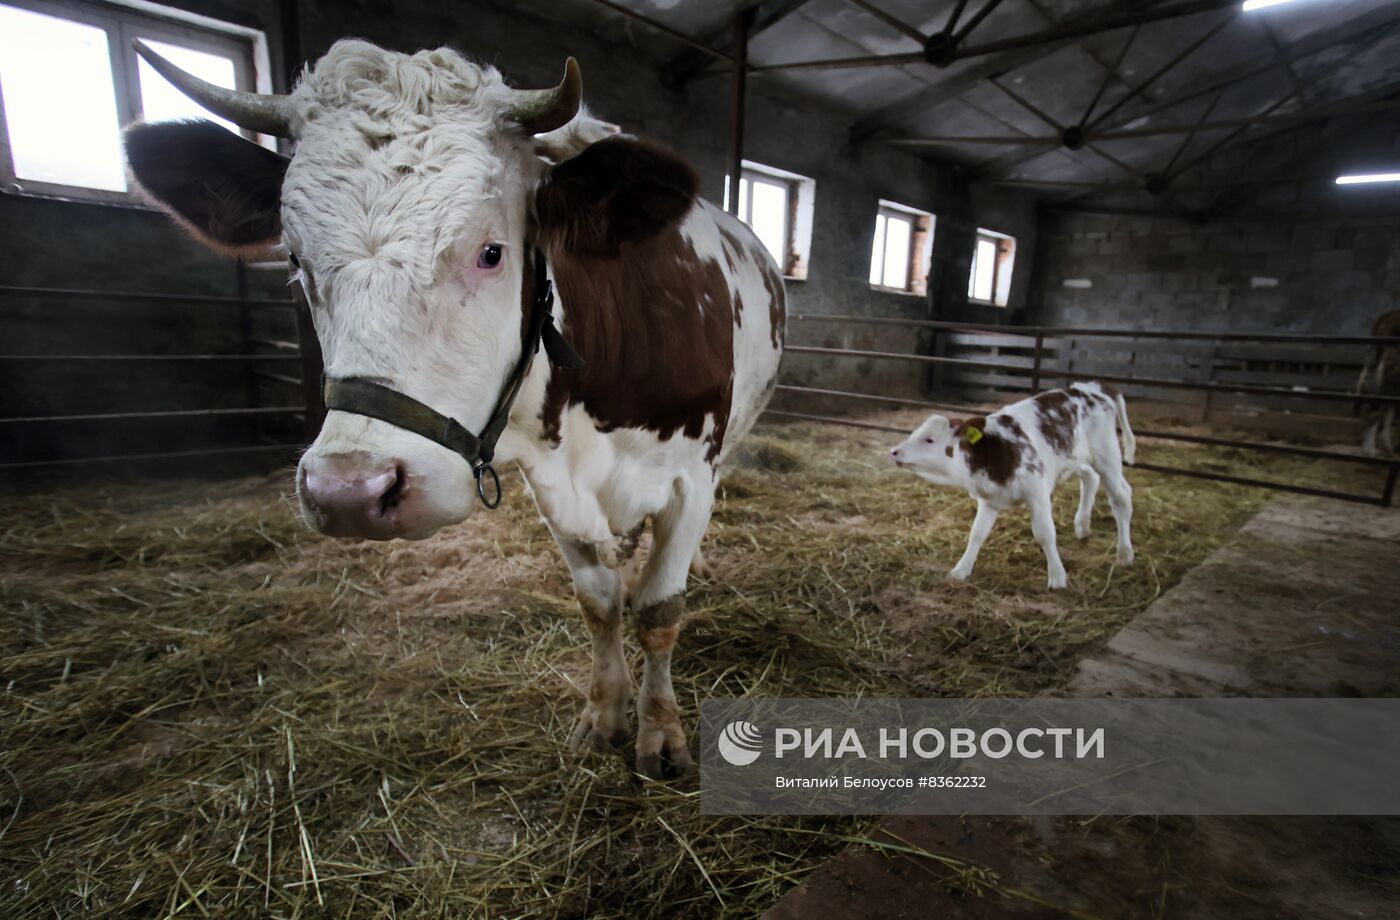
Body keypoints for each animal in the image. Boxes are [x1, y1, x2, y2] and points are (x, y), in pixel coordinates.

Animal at [120, 41, 789, 772]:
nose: (352, 492)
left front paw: (661, 735)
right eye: (295, 260)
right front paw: (604, 716)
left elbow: (659, 611)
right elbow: (600, 603)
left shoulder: (688, 478)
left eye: (491, 252)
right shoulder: (552, 488)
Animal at [884, 380, 1136, 588]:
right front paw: (961, 570)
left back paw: (1125, 554)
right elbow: (977, 533)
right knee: (1091, 478)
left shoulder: (1037, 492)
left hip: (1106, 454)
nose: (894, 451)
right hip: (1075, 459)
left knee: (1121, 497)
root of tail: (1091, 388)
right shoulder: (989, 499)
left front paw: (1057, 577)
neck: (996, 452)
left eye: (929, 439)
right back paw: (1082, 526)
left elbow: (1045, 533)